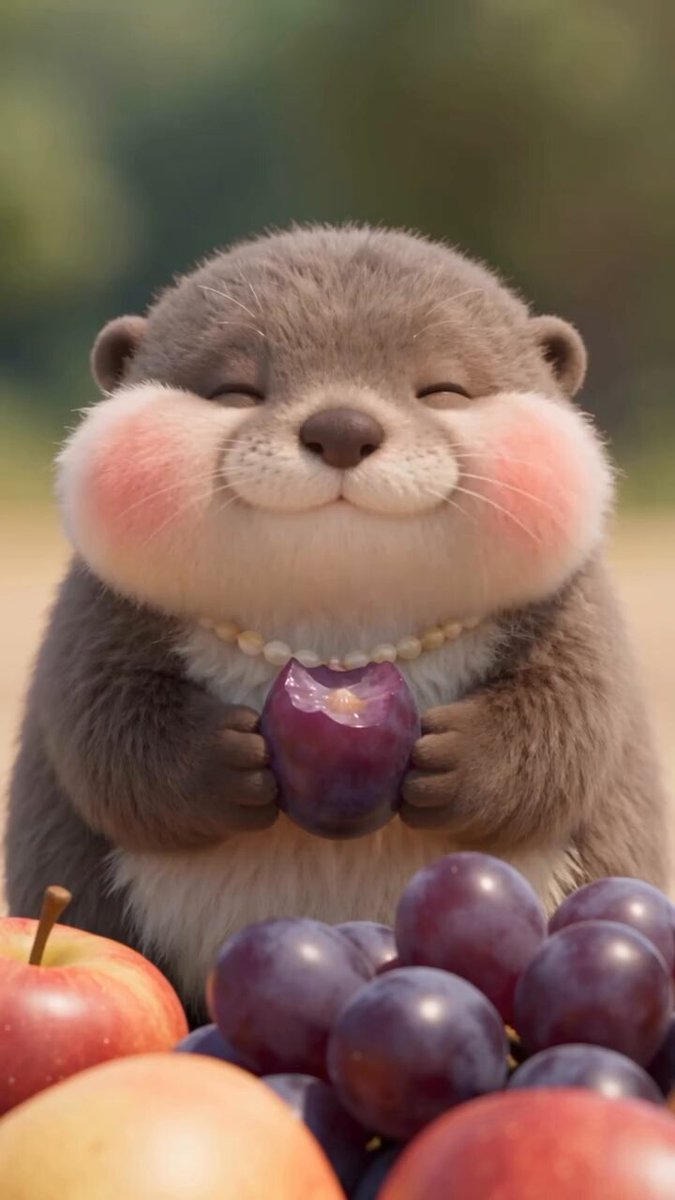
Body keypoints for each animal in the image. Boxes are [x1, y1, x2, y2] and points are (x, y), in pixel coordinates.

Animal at [5, 224, 669, 1018]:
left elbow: (573, 726)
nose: (342, 428)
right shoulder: (90, 618)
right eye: (236, 389)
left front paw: (451, 760)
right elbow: (100, 735)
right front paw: (228, 760)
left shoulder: (579, 617)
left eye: (443, 389)